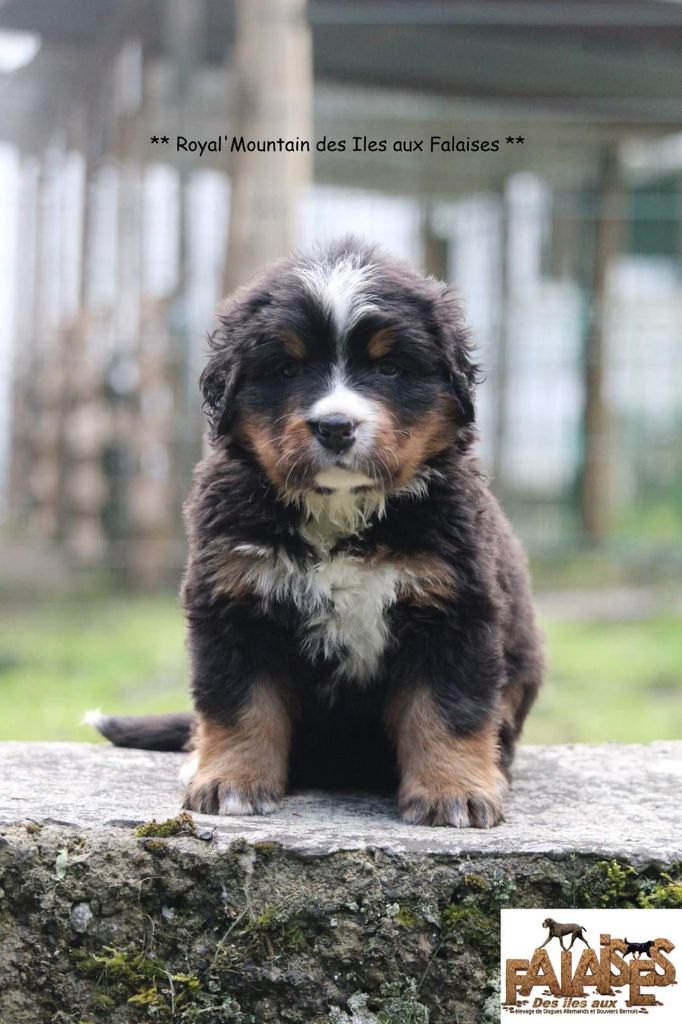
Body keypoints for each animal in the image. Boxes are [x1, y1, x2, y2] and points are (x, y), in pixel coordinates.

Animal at [88, 237, 543, 827]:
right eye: (286, 369)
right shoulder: (235, 601)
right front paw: (229, 782)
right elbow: (238, 703)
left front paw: (454, 792)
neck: (340, 511)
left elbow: (449, 709)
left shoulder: (455, 606)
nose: (335, 426)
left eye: (390, 367)